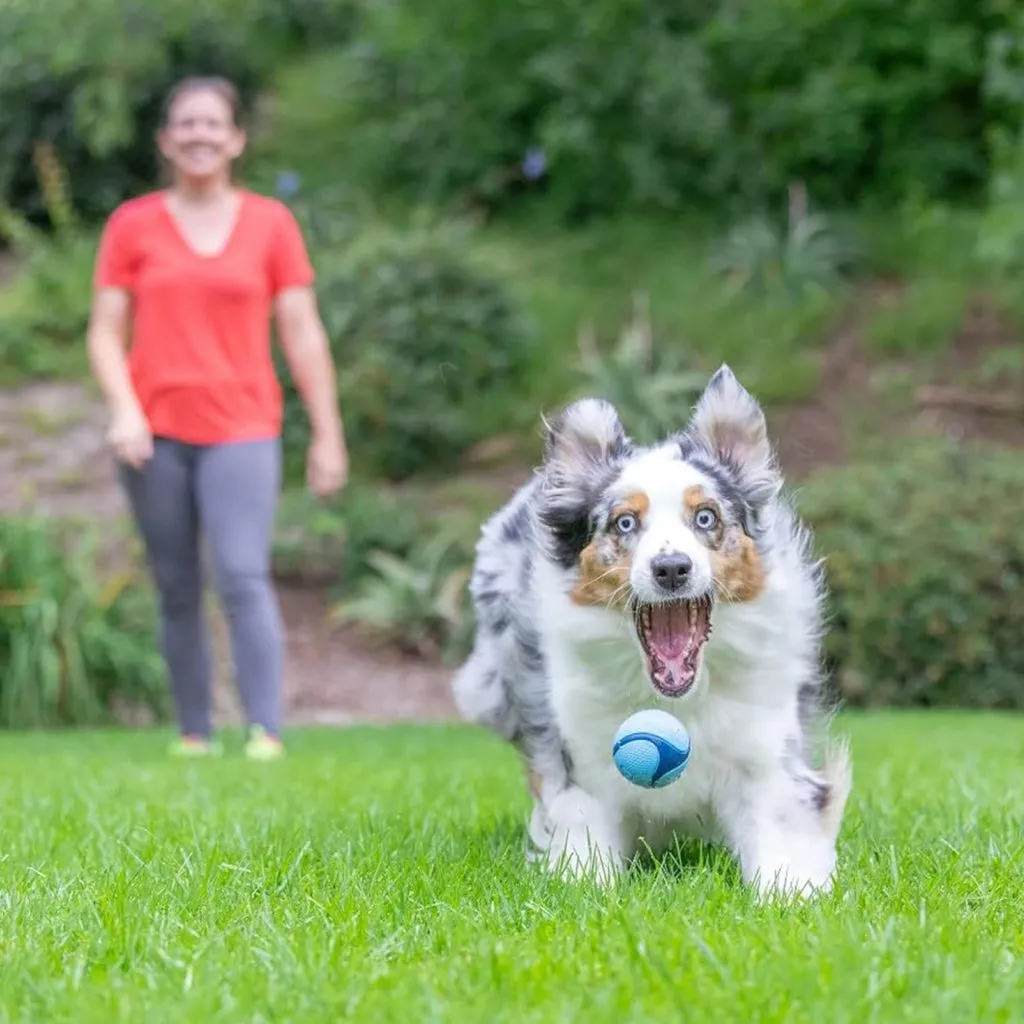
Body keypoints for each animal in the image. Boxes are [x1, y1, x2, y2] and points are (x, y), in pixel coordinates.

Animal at [452, 366, 851, 897]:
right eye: (624, 522)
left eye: (706, 517)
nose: (672, 568)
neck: (675, 701)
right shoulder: (584, 758)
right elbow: (586, 845)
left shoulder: (765, 753)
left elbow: (781, 840)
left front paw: (790, 896)